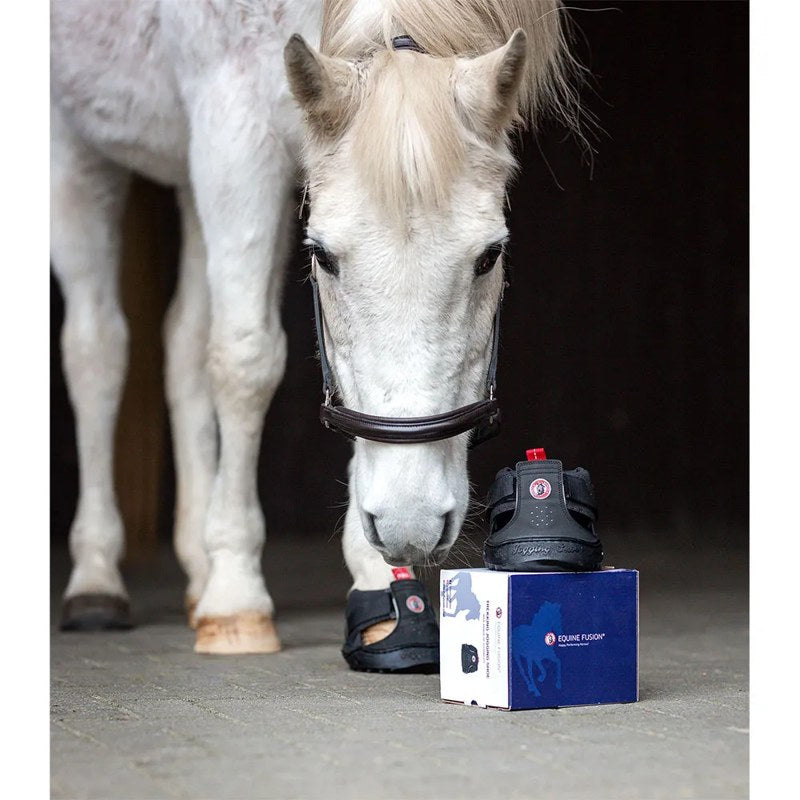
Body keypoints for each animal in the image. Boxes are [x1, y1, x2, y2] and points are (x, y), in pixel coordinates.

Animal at [51, 0, 580, 657]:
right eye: (322, 256)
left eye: (490, 255)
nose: (410, 520)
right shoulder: (235, 132)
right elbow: (245, 358)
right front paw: (237, 596)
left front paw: (381, 589)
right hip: (78, 152)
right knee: (97, 349)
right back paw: (97, 581)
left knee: (183, 344)